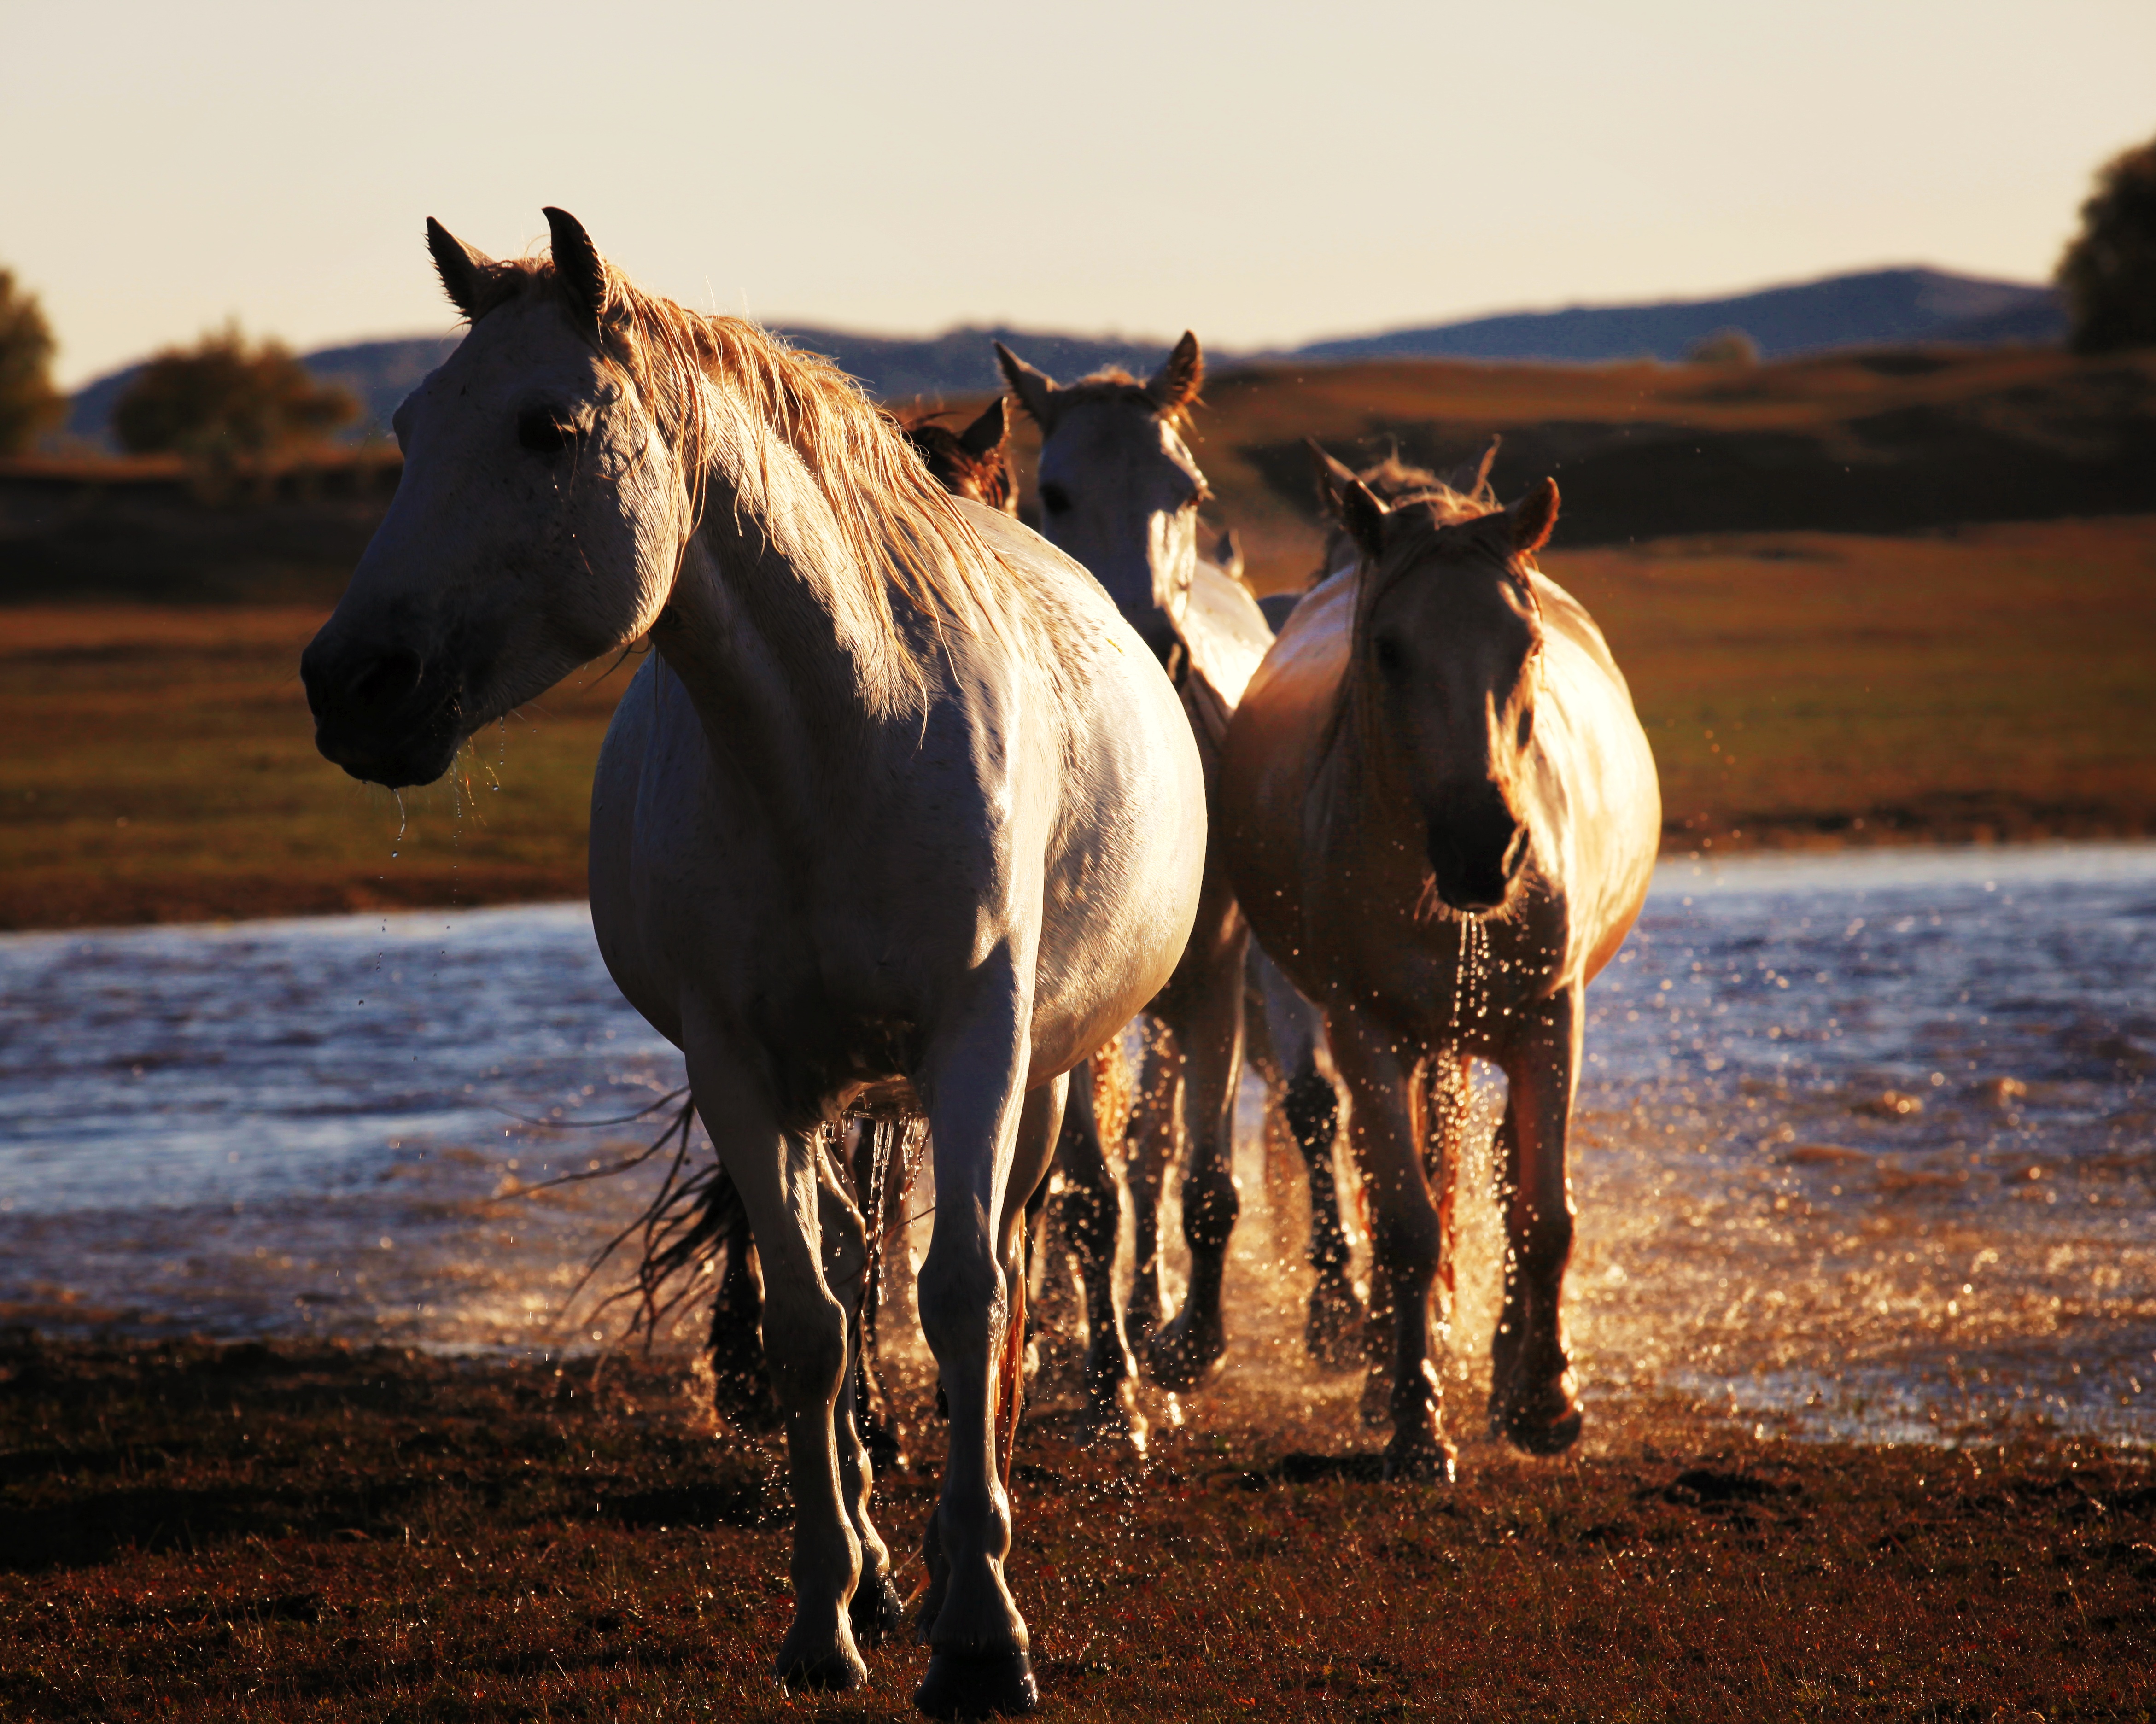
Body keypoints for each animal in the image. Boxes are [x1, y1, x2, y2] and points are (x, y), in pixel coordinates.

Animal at [300, 208, 1205, 1716]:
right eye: (412, 426)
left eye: (549, 427)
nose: (351, 681)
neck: (843, 739)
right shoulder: (739, 1068)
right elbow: (807, 1323)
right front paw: (828, 1610)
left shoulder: (976, 1040)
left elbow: (963, 1293)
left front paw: (981, 1629)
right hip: (829, 1093)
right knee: (845, 1264)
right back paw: (885, 1562)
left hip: (1040, 1074)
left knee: (1006, 1254)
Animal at [996, 335, 1363, 1399]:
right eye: (1053, 491)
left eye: (1187, 490)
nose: (1154, 642)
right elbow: (1091, 1186)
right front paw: (1106, 1373)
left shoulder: (1211, 982)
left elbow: (1202, 1178)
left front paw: (1191, 1338)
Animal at [1220, 446, 1659, 1479]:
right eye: (1388, 649)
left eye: (1526, 644)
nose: (1481, 847)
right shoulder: (1367, 1028)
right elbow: (1407, 1224)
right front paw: (1415, 1418)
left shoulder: (1551, 1018)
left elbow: (1542, 1213)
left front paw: (1546, 1398)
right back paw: (1391, 1369)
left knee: (1498, 1164)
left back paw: (1501, 1371)